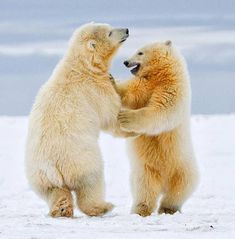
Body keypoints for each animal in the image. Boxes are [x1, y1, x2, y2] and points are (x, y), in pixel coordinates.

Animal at [25, 23, 130, 218]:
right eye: (110, 32)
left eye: (110, 27)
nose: (126, 30)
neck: (83, 66)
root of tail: (51, 165)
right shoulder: (95, 89)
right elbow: (111, 117)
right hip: (80, 159)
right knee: (91, 183)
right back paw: (104, 206)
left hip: (40, 177)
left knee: (55, 191)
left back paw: (61, 210)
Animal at [115, 40, 198, 217]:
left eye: (140, 52)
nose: (125, 61)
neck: (160, 75)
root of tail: (163, 183)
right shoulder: (144, 84)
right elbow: (132, 93)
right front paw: (113, 81)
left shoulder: (173, 86)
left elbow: (162, 110)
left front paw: (126, 117)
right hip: (145, 168)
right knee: (145, 188)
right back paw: (141, 209)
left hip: (182, 167)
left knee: (180, 189)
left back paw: (167, 208)